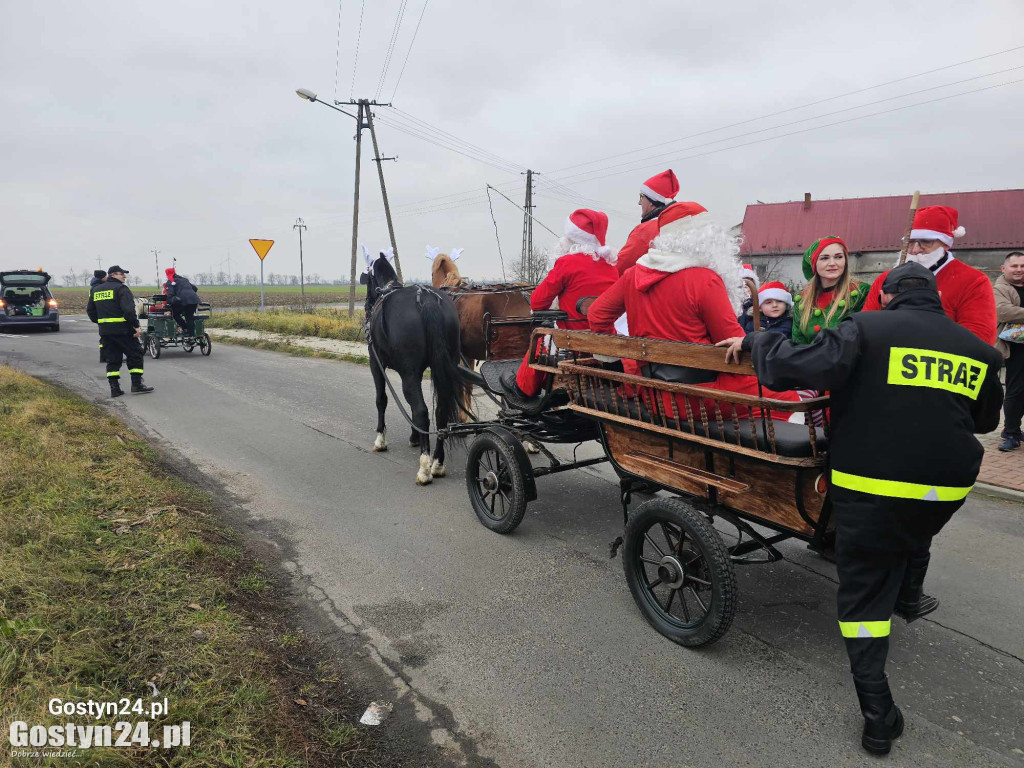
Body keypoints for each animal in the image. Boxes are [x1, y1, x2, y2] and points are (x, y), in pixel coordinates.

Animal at [360, 256, 464, 483]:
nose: (366, 306)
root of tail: (426, 299)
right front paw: (415, 436)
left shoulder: (376, 364)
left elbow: (381, 400)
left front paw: (381, 439)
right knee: (440, 411)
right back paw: (437, 462)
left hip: (407, 374)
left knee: (421, 411)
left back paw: (424, 467)